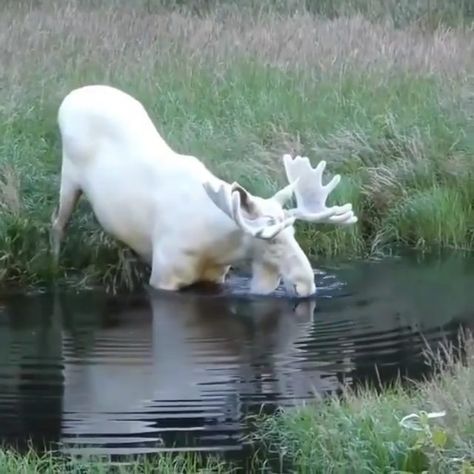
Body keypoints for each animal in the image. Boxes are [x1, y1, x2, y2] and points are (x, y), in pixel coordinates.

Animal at [51, 85, 356, 296]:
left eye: (293, 232)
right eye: (271, 240)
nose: (307, 284)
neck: (218, 247)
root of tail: (70, 97)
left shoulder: (216, 276)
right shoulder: (163, 277)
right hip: (69, 177)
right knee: (57, 223)